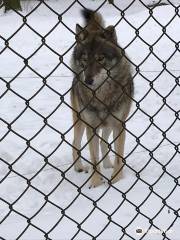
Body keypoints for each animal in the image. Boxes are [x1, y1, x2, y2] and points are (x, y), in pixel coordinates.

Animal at [70, 8, 134, 188]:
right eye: (84, 59)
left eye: (100, 58)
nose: (87, 80)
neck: (101, 96)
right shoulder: (91, 126)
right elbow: (94, 159)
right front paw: (96, 183)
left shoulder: (119, 125)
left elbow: (119, 156)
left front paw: (116, 180)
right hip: (80, 121)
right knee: (75, 143)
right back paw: (79, 167)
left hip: (108, 124)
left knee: (103, 142)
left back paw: (107, 165)